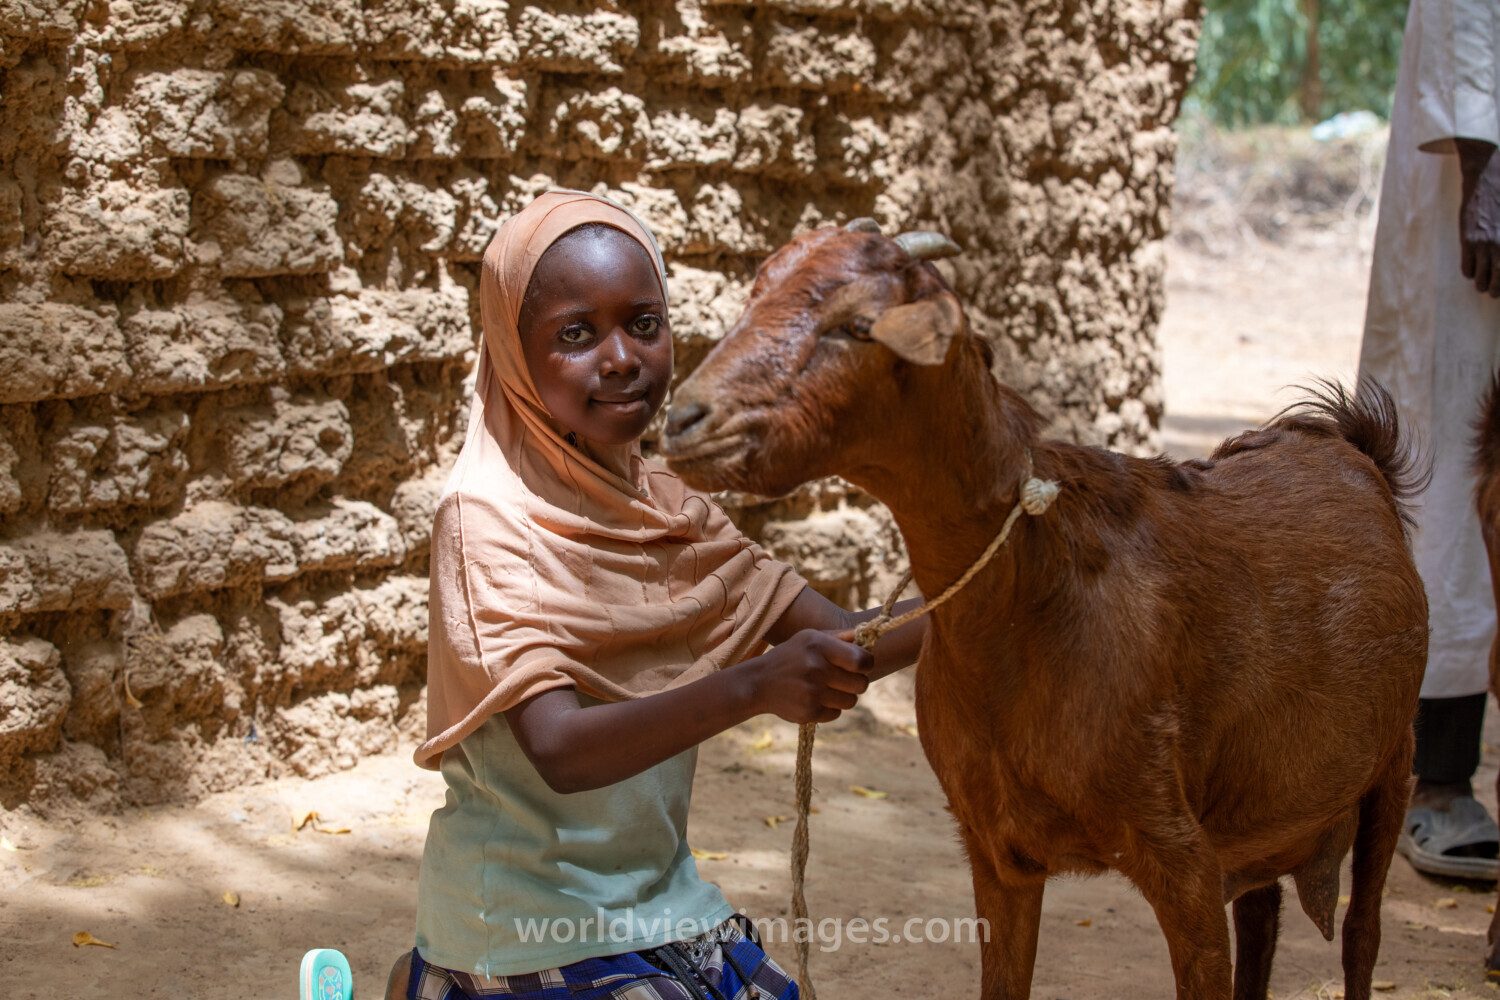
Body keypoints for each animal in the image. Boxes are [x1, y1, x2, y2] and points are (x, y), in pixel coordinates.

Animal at [658, 223, 1429, 1000]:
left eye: (855, 326)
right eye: (756, 294)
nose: (685, 419)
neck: (1033, 606)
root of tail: (1350, 446)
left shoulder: (1184, 859)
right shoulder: (997, 850)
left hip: (1393, 764)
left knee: (1361, 934)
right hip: (1263, 810)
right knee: (1265, 915)